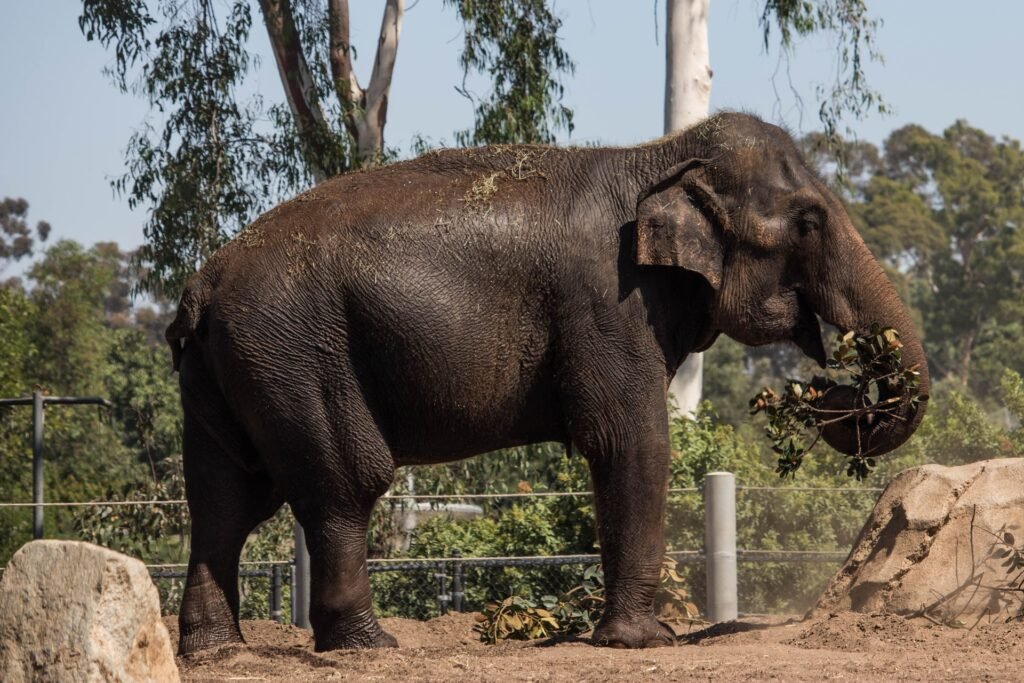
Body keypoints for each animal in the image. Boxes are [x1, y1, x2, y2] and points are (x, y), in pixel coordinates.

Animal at [165, 113, 929, 655]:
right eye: (808, 222)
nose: (829, 386)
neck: (656, 155)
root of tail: (200, 286)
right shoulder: (607, 301)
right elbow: (632, 441)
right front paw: (644, 643)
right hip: (297, 354)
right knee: (343, 485)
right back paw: (370, 646)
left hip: (231, 371)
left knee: (226, 499)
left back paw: (219, 652)